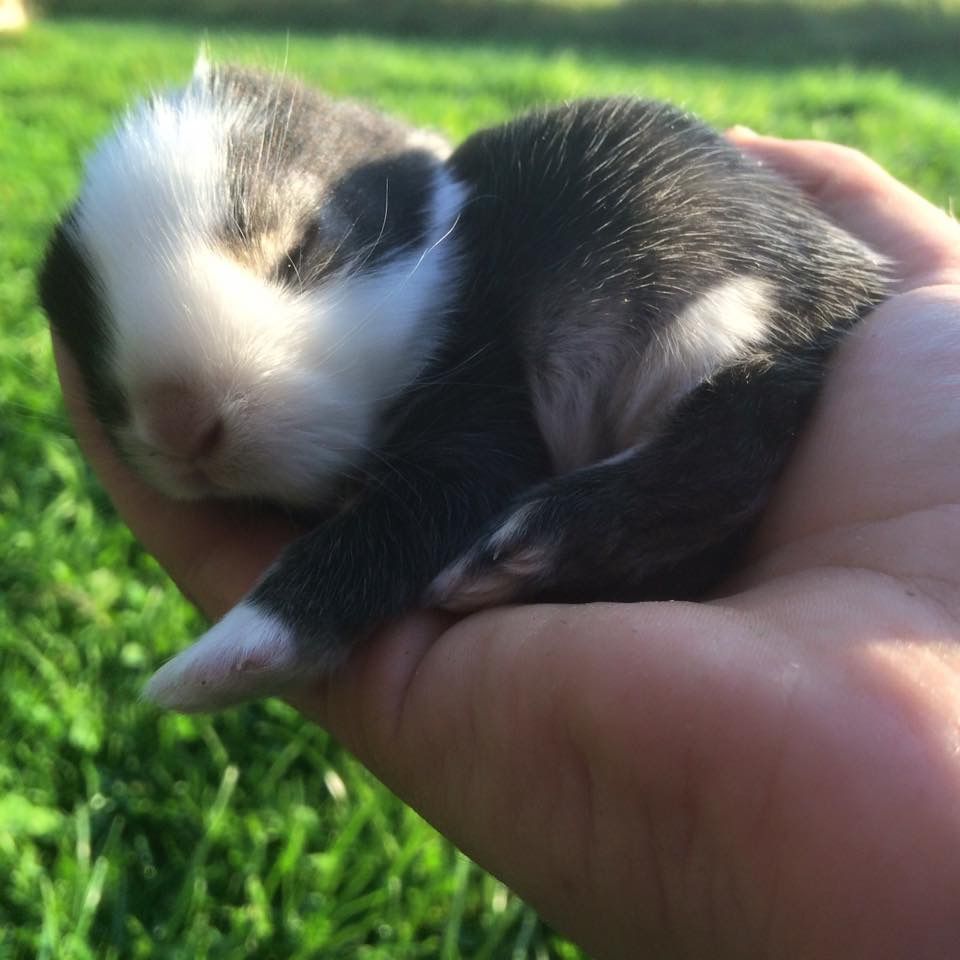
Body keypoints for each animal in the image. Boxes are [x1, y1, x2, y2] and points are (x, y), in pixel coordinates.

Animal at [43, 58, 884, 704]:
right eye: (78, 319)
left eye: (301, 248)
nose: (180, 425)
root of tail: (860, 289)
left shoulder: (485, 421)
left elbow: (384, 531)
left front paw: (203, 671)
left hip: (715, 310)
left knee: (732, 444)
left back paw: (517, 552)